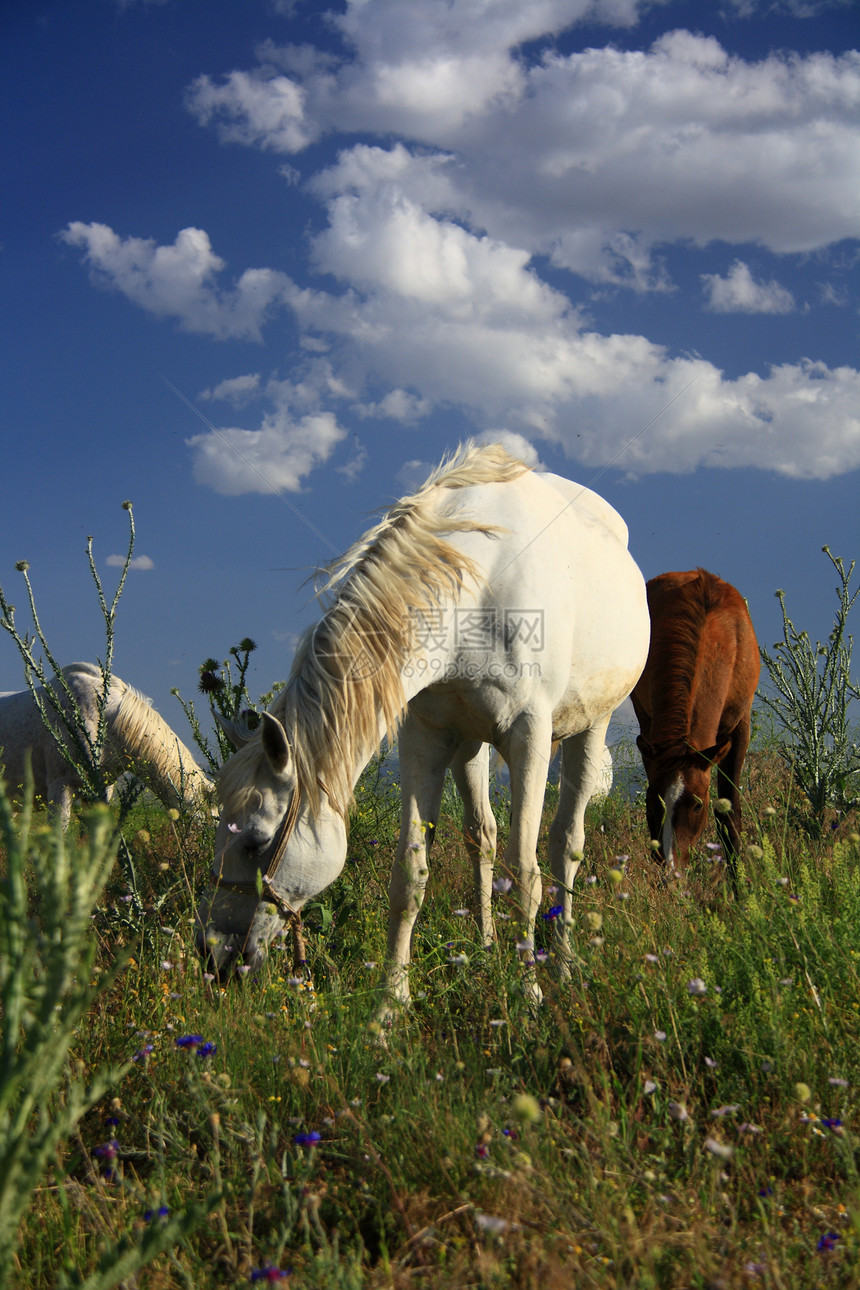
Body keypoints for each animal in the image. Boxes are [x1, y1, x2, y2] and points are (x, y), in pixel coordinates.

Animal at [199, 443, 644, 1016]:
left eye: (254, 843)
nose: (211, 955)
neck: (479, 588)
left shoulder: (529, 737)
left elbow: (525, 874)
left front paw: (529, 997)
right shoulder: (425, 740)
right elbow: (410, 876)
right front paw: (390, 1005)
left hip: (589, 729)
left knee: (564, 844)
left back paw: (563, 965)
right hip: (469, 745)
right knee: (482, 838)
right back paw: (486, 950)